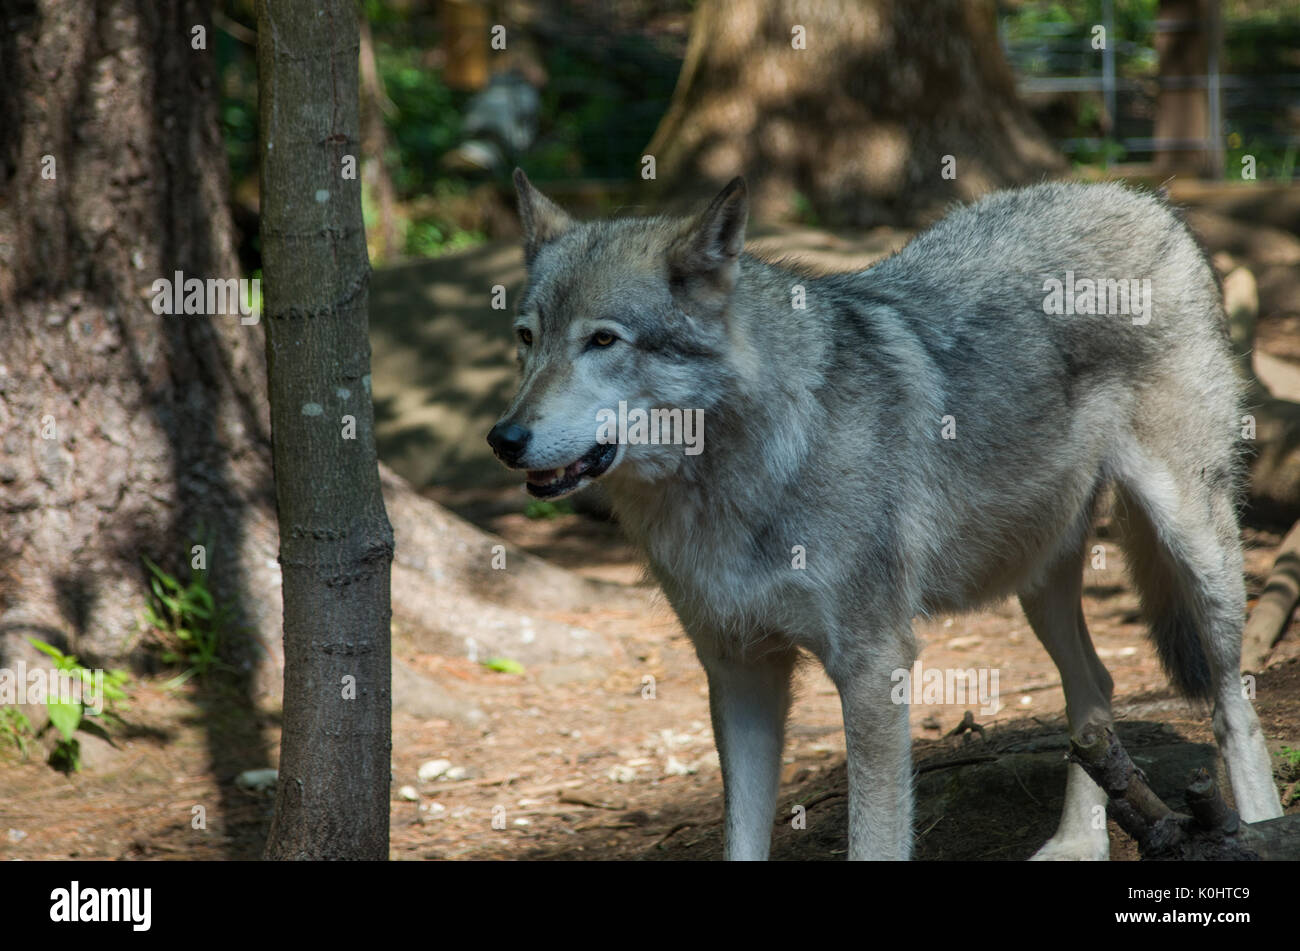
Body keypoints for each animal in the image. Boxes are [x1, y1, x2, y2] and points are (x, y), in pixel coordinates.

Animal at [491, 171, 1284, 862]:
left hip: (1195, 546)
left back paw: (1260, 827)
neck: (738, 473)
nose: (504, 438)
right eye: (527, 338)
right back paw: (1078, 845)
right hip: (1037, 580)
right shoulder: (739, 672)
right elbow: (741, 839)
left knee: (1231, 701)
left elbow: (874, 838)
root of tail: (1144, 198)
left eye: (602, 340)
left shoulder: (875, 667)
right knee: (1097, 689)